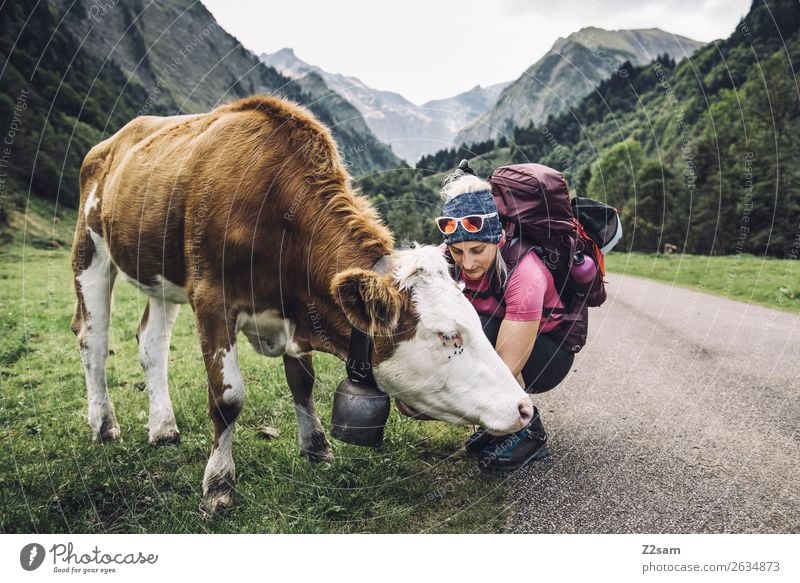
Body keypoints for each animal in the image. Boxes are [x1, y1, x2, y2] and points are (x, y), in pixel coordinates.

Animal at [69, 93, 532, 512]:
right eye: (446, 335)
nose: (524, 407)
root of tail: (116, 137)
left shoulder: (297, 309)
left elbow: (302, 382)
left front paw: (316, 448)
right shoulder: (212, 298)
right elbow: (227, 397)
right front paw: (219, 484)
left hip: (160, 276)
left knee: (151, 344)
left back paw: (162, 428)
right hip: (89, 249)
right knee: (93, 339)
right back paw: (104, 425)